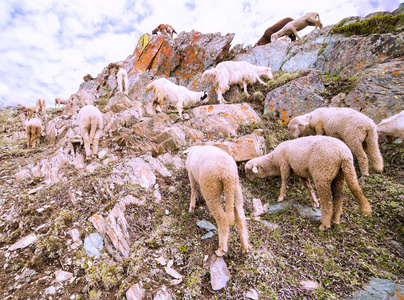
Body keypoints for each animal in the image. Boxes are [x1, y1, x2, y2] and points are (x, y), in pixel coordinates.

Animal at [243, 135, 372, 231]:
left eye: (248, 171)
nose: (247, 180)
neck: (274, 161)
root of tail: (344, 155)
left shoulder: (284, 165)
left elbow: (284, 181)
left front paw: (280, 197)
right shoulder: (301, 173)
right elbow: (308, 187)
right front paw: (314, 202)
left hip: (322, 174)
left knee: (327, 201)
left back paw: (324, 225)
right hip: (339, 175)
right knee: (338, 197)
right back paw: (335, 220)